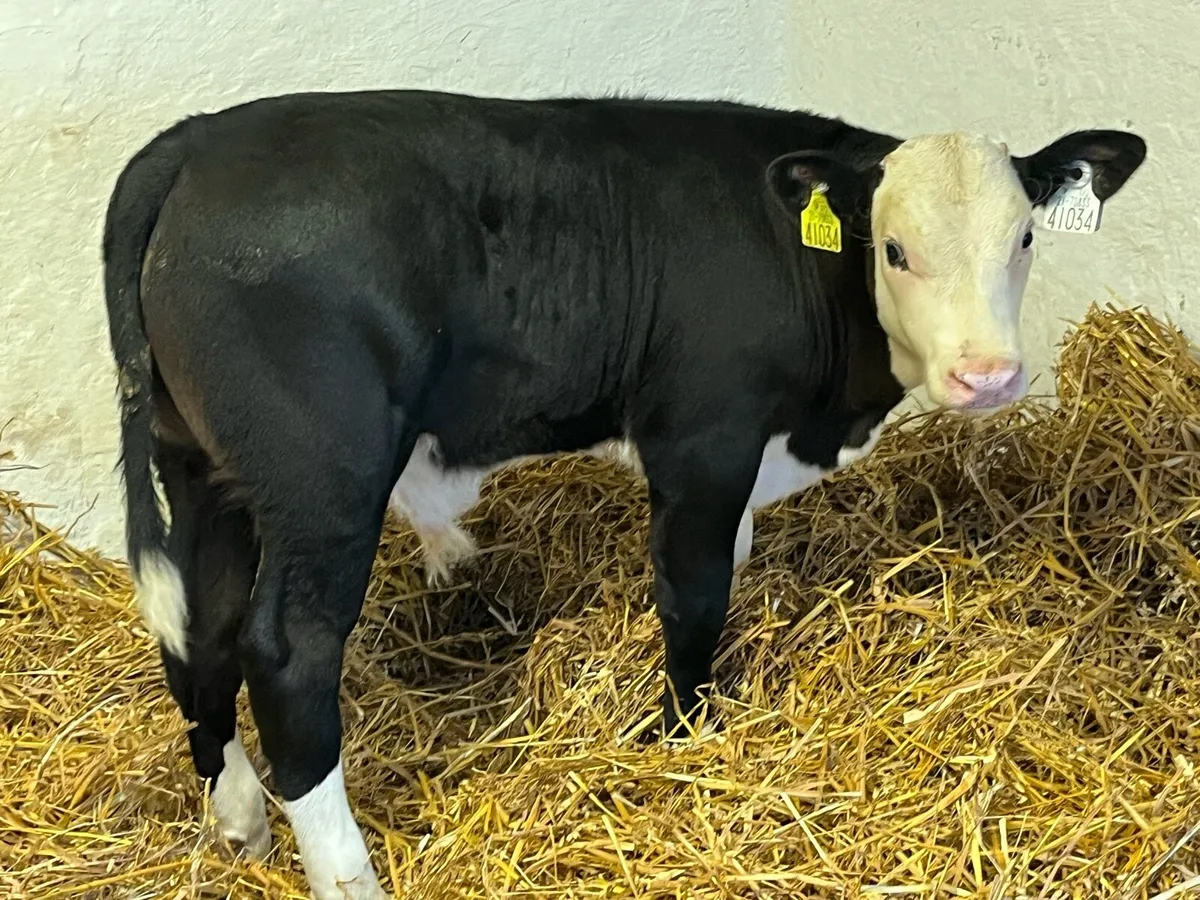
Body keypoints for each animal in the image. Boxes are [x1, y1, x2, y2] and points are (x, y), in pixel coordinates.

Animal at [101, 89, 1145, 899]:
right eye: (892, 249)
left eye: (1023, 238)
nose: (988, 376)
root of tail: (194, 141)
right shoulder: (704, 438)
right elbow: (694, 594)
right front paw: (684, 737)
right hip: (323, 483)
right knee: (287, 652)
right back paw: (346, 873)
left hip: (200, 469)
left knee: (201, 623)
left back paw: (239, 817)